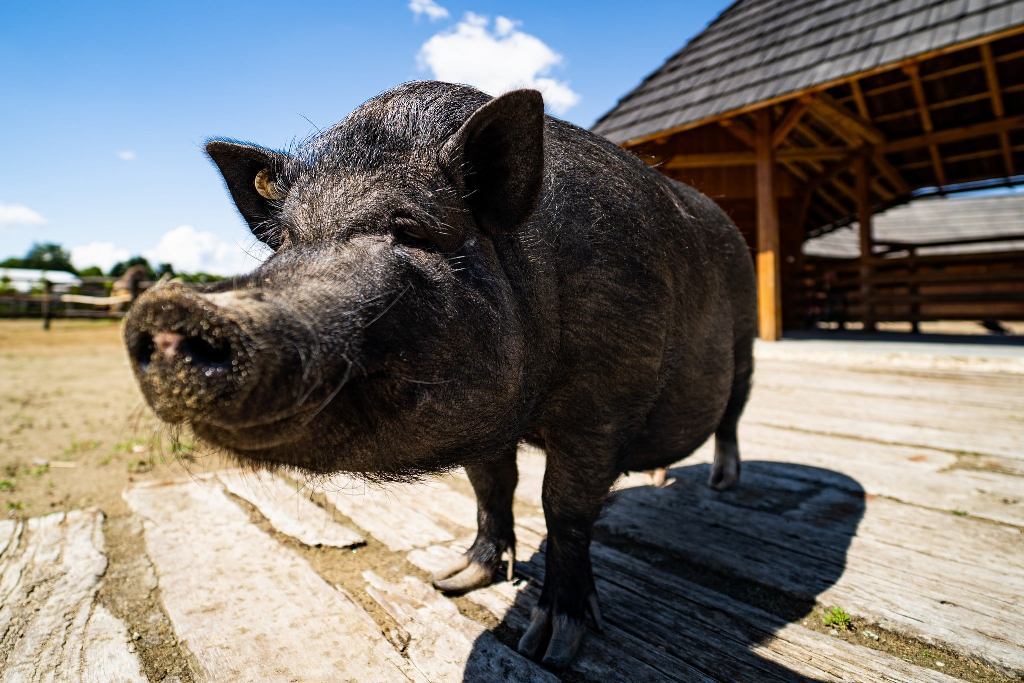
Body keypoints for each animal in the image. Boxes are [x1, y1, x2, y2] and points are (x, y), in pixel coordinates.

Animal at [123, 82, 757, 671]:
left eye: (412, 230)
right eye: (286, 243)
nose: (170, 311)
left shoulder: (606, 399)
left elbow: (564, 508)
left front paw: (549, 646)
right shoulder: (485, 423)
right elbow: (490, 488)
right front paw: (454, 580)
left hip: (746, 343)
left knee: (732, 416)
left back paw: (724, 484)